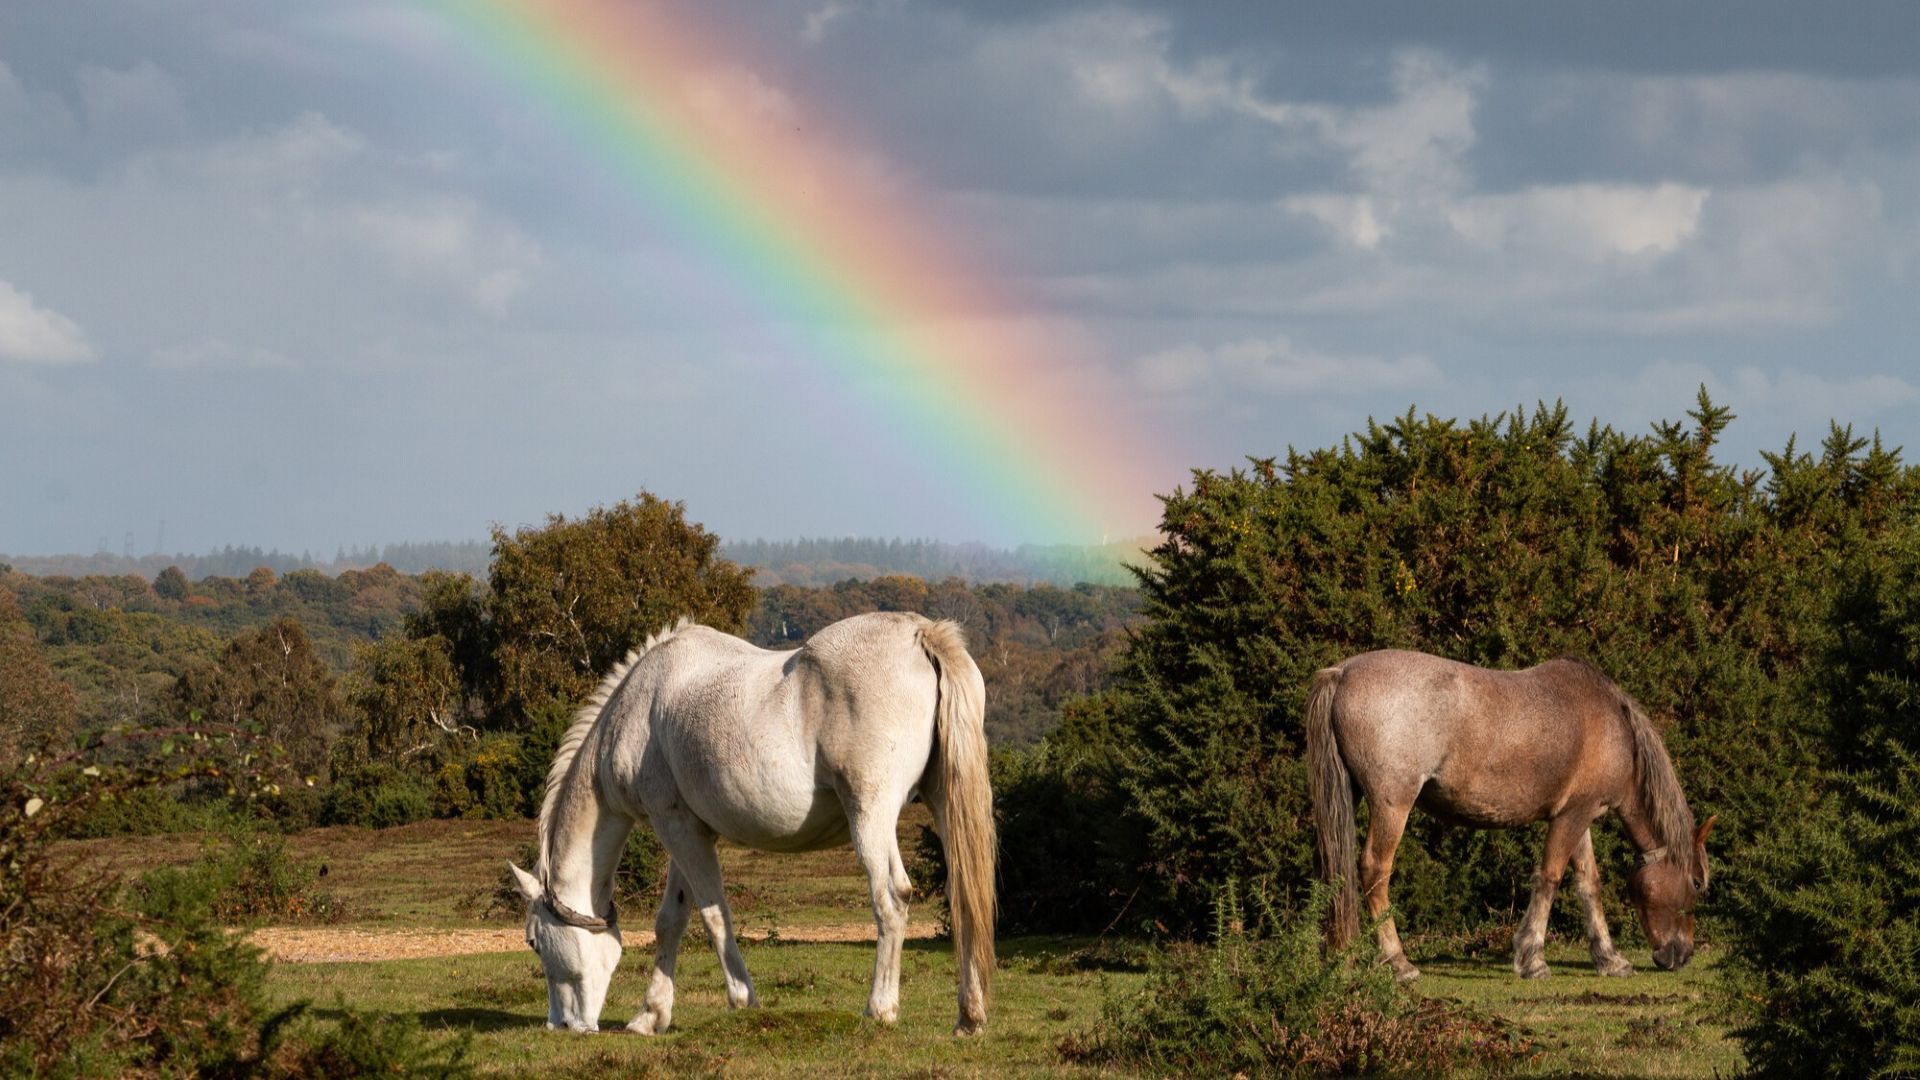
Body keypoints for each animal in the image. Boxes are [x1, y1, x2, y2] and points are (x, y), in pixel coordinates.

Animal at [505, 611, 997, 1034]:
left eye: (534, 942)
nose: (560, 1024)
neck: (638, 708)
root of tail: (920, 634)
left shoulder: (674, 825)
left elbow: (713, 916)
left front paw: (742, 1000)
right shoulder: (688, 830)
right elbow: (671, 920)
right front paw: (650, 1016)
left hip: (870, 813)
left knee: (891, 897)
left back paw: (879, 1009)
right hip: (943, 802)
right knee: (964, 895)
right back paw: (969, 1016)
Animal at [1304, 649, 1716, 981]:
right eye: (1697, 883)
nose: (1682, 955)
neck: (1609, 721)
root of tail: (1342, 672)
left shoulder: (1577, 815)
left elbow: (1588, 884)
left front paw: (1609, 959)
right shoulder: (1572, 817)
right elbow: (1549, 879)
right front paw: (1532, 959)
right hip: (1393, 804)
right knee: (1375, 871)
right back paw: (1399, 962)